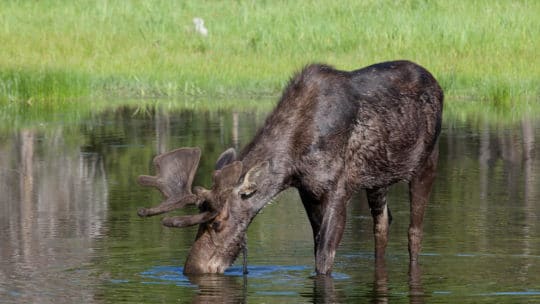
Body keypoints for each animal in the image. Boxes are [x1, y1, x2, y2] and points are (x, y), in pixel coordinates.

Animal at [136, 59, 442, 276]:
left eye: (217, 223)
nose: (192, 269)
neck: (293, 161)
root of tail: (438, 85)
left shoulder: (339, 188)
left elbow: (324, 258)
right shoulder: (308, 191)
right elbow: (317, 247)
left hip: (426, 161)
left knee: (414, 231)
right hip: (377, 180)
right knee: (383, 224)